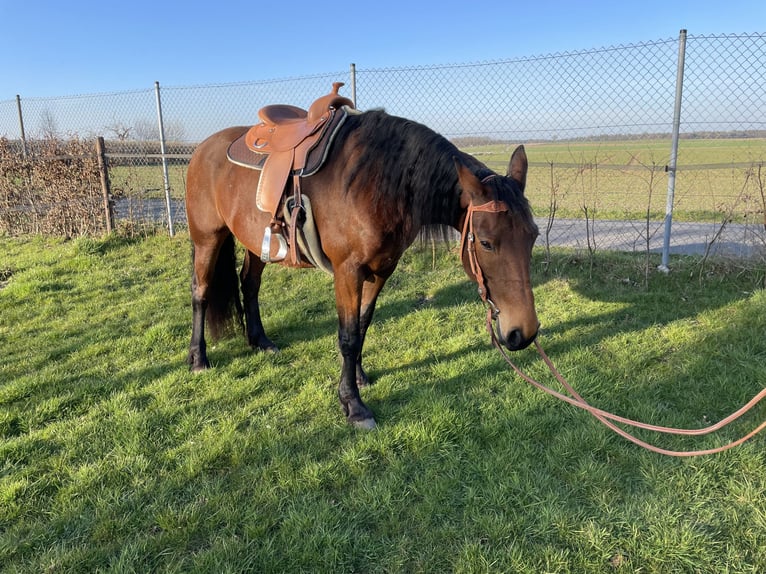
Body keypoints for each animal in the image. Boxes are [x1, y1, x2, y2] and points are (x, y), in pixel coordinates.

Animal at [185, 106, 540, 430]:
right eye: (486, 243)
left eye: (534, 235)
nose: (523, 333)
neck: (376, 183)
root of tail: (202, 148)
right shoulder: (348, 272)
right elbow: (348, 336)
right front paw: (353, 404)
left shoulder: (382, 269)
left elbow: (363, 326)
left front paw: (359, 378)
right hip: (207, 238)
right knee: (201, 291)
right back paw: (198, 358)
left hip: (257, 243)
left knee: (249, 284)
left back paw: (260, 341)